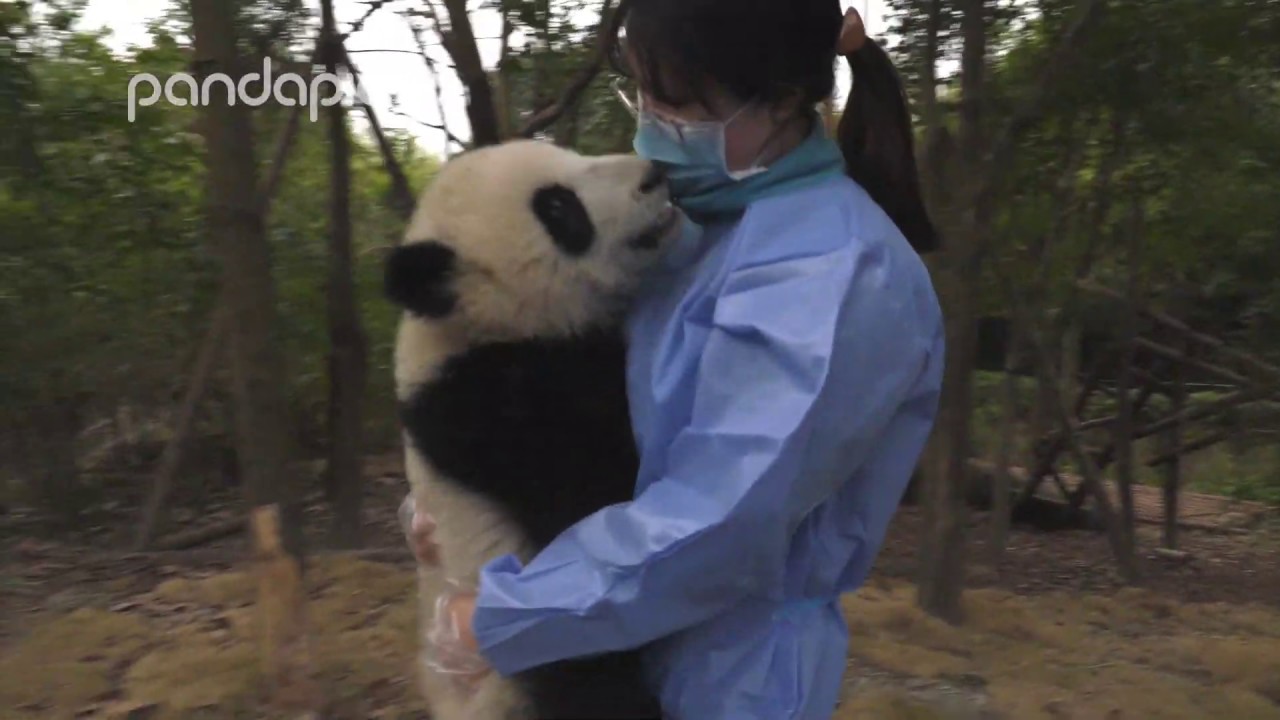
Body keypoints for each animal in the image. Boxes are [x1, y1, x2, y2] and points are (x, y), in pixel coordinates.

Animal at [383, 139, 678, 720]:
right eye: (559, 209)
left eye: (571, 153)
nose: (653, 174)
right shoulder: (493, 415)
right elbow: (599, 490)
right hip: (536, 653)